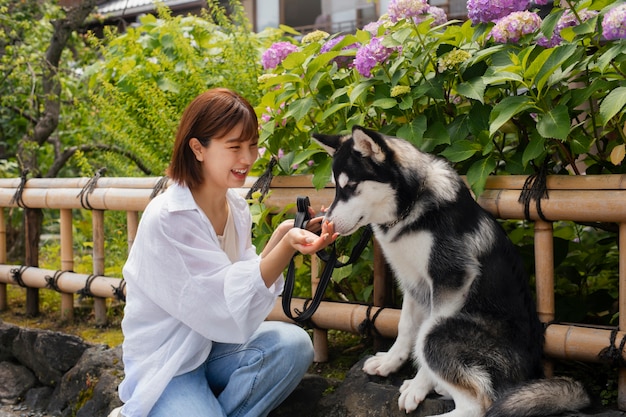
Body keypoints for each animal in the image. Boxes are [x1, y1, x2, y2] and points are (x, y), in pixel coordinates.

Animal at [314, 126, 588, 416]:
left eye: (351, 186)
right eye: (336, 188)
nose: (326, 225)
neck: (411, 206)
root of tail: (527, 374)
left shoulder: (450, 279)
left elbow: (422, 335)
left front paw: (418, 384)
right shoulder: (413, 281)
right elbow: (406, 326)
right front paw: (390, 362)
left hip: (441, 334)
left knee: (477, 405)